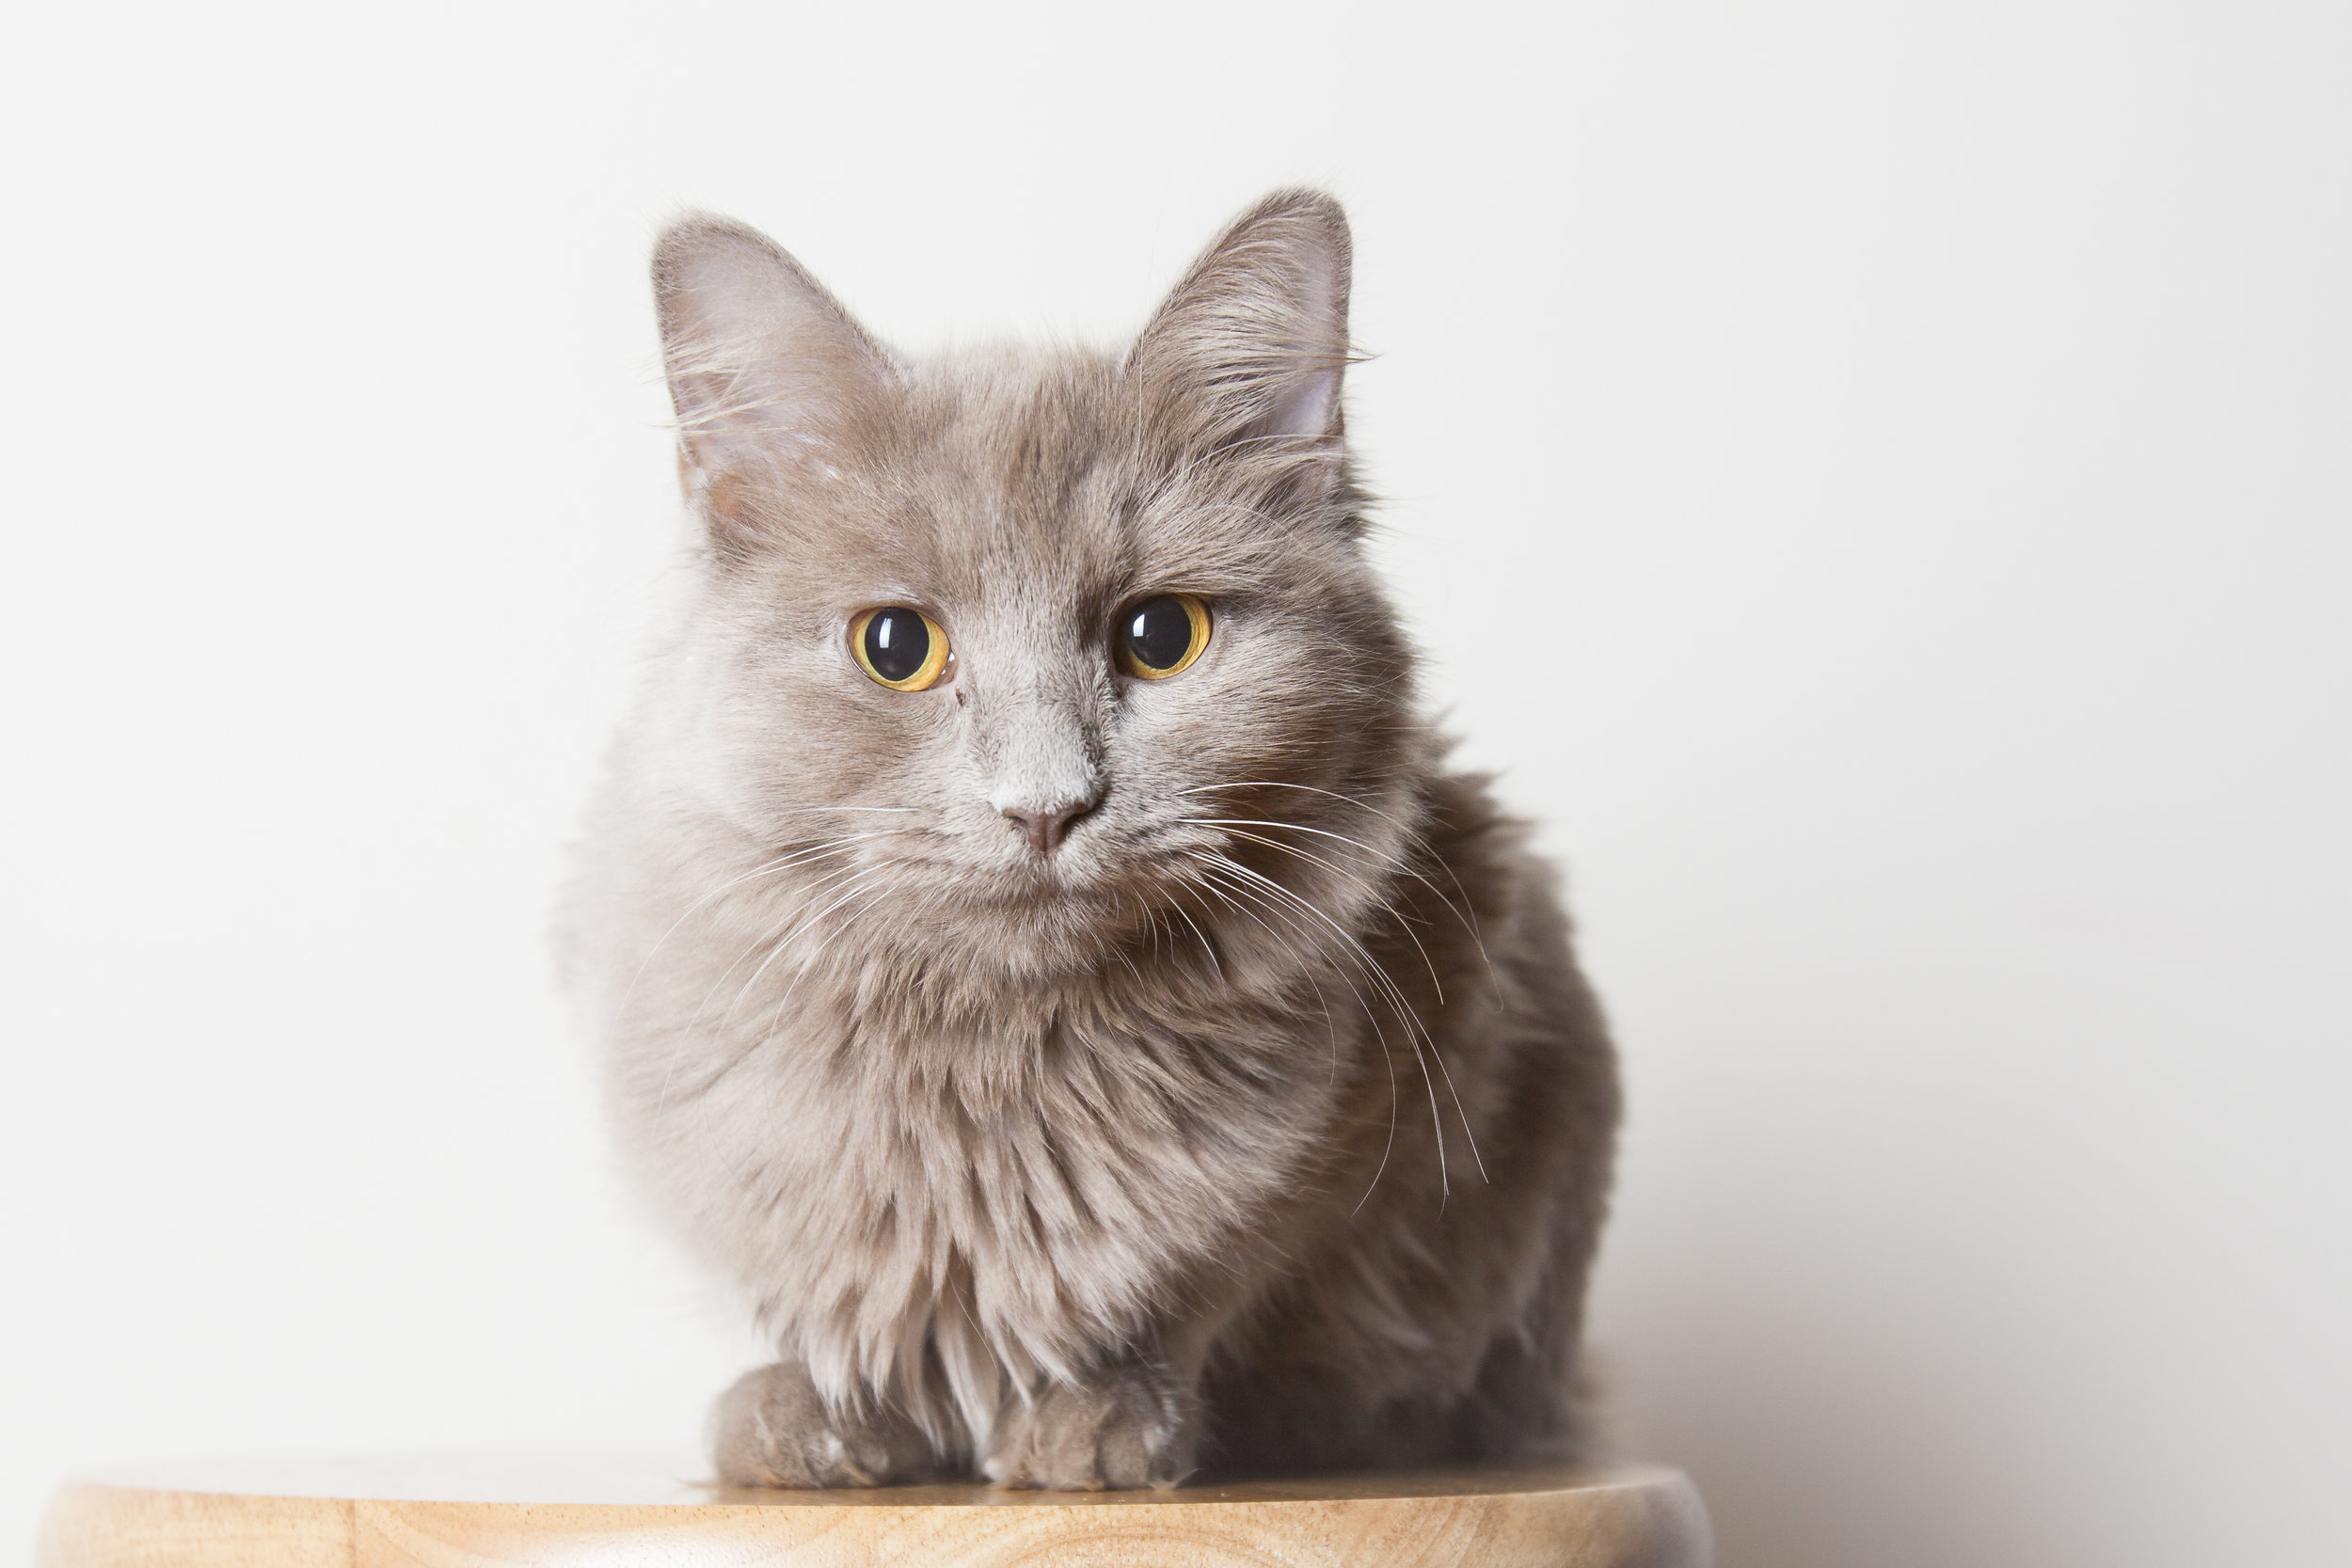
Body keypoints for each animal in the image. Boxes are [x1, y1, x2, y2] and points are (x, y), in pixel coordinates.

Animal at [555, 190, 1618, 1495]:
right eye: (895, 646)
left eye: (1161, 635)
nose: (1045, 806)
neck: (990, 1062)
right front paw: (816, 1412)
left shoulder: (1427, 1064)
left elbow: (1198, 1289)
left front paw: (1099, 1413)